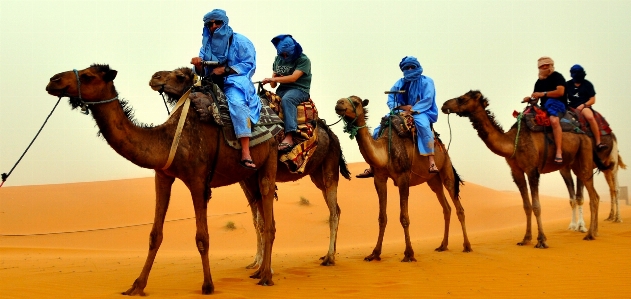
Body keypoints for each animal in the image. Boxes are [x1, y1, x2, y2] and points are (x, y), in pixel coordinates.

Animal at [45, 64, 278, 296]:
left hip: (270, 156)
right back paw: (259, 271)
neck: (168, 139)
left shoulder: (198, 180)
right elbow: (154, 235)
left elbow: (202, 238)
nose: (53, 80)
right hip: (249, 175)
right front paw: (137, 285)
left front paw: (208, 285)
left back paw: (266, 276)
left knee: (267, 207)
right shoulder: (163, 176)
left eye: (87, 76)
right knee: (261, 209)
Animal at [150, 67, 354, 266]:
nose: (155, 78)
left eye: (179, 75)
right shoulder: (246, 178)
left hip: (330, 166)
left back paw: (329, 257)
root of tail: (330, 133)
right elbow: (257, 221)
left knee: (334, 211)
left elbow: (262, 219)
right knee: (335, 207)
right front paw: (256, 261)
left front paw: (261, 263)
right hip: (317, 174)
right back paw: (330, 254)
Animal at [334, 96, 472, 262]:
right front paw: (375, 253)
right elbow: (382, 217)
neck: (385, 151)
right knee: (446, 207)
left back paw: (467, 246)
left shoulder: (403, 177)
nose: (338, 103)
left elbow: (404, 218)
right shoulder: (379, 178)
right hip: (433, 180)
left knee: (458, 206)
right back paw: (443, 245)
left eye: (356, 102)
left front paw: (409, 253)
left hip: (446, 167)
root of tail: (442, 146)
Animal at [442, 91, 604, 248]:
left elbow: (537, 206)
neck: (513, 142)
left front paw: (541, 240)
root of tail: (585, 134)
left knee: (594, 197)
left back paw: (589, 234)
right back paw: (594, 232)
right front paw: (526, 239)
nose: (444, 105)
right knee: (595, 195)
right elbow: (526, 206)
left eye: (462, 99)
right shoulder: (516, 171)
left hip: (584, 156)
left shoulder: (532, 169)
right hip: (575, 164)